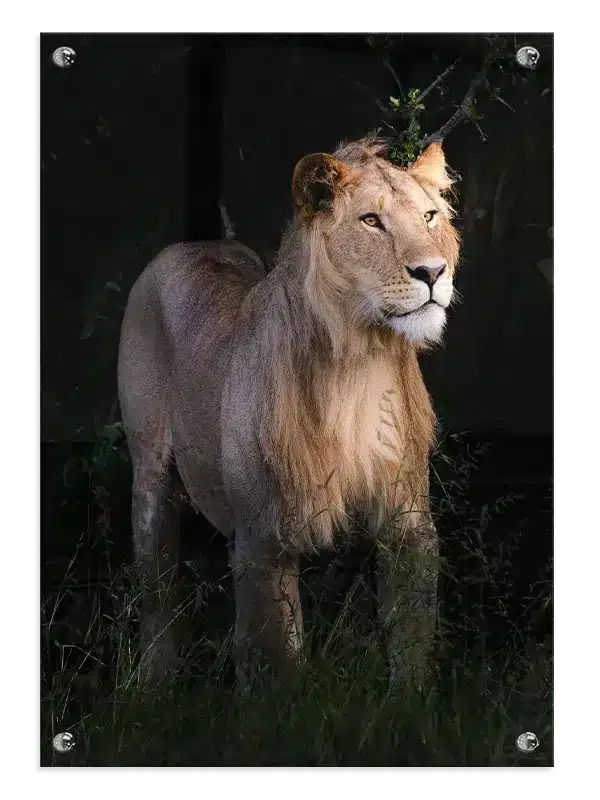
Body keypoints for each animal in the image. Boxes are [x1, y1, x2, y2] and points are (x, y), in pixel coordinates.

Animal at [117, 138, 460, 688]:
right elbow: (276, 662)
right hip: (151, 473)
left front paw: (410, 707)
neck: (359, 363)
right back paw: (154, 683)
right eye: (371, 221)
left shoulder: (407, 521)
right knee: (157, 584)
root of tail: (196, 244)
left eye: (429, 216)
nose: (432, 272)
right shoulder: (265, 537)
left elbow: (411, 642)